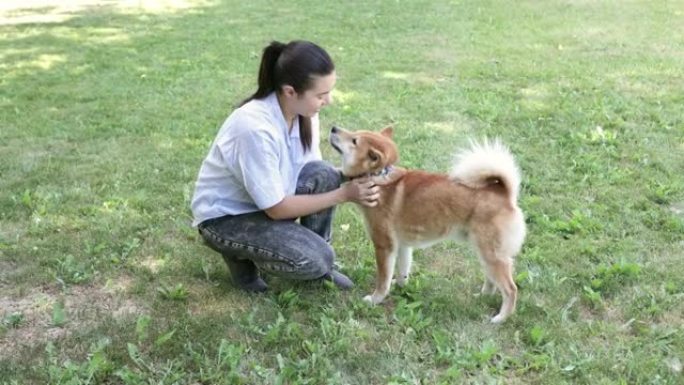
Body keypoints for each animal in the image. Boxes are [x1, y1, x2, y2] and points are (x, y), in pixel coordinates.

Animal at [328, 125, 528, 320]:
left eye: (354, 140)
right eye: (354, 132)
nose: (333, 128)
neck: (378, 178)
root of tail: (504, 193)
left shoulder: (384, 245)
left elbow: (383, 279)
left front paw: (376, 299)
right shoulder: (402, 245)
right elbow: (402, 270)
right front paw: (401, 287)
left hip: (492, 254)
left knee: (511, 289)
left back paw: (500, 318)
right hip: (485, 252)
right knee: (492, 280)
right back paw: (482, 296)